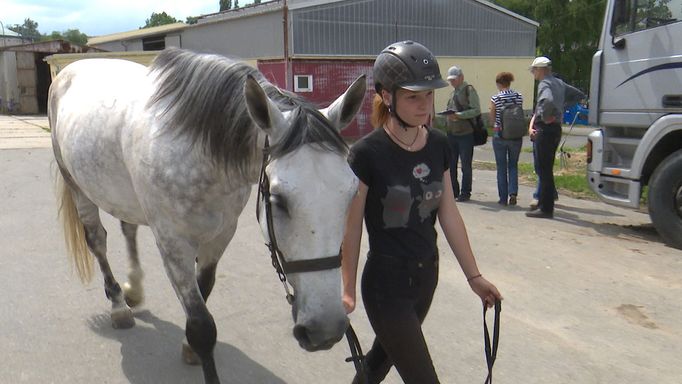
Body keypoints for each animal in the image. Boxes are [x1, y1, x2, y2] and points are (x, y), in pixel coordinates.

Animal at [49, 48, 362, 384]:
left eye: (351, 193)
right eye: (278, 200)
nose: (325, 329)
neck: (197, 147)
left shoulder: (221, 235)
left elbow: (205, 288)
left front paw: (188, 347)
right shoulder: (174, 245)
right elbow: (202, 326)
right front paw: (194, 345)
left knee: (128, 229)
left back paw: (133, 289)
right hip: (77, 186)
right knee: (97, 241)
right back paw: (119, 305)